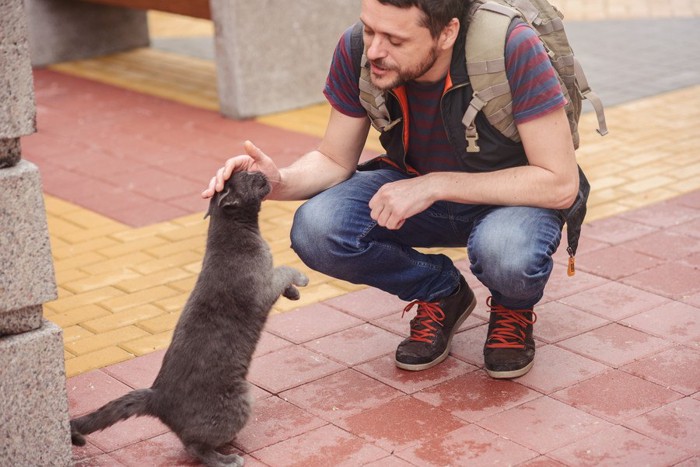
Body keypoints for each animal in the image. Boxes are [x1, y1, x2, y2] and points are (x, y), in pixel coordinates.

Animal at [69, 172, 308, 467]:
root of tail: (157, 396)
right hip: (238, 399)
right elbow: (284, 269)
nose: (263, 173)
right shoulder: (261, 289)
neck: (236, 235)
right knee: (194, 446)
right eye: (251, 178)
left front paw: (293, 293)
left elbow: (282, 276)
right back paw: (227, 458)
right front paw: (301, 280)